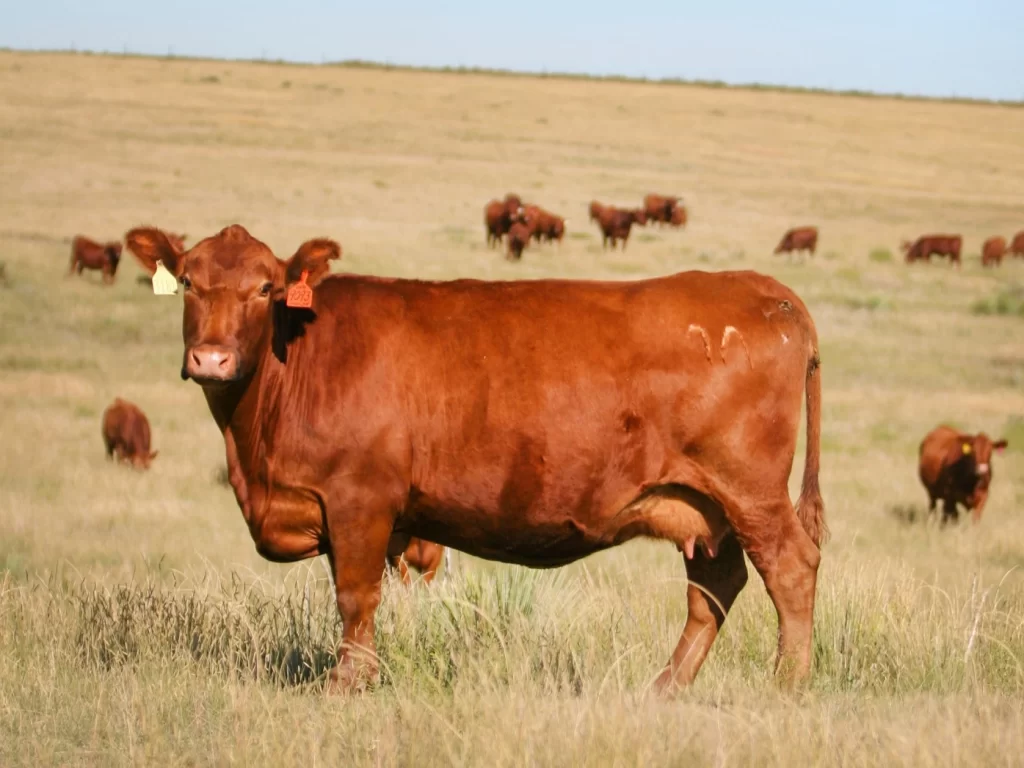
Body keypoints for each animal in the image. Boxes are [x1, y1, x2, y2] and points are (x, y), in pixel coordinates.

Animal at [126, 223, 826, 694]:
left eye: (265, 288)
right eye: (188, 283)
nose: (212, 358)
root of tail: (764, 290)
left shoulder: (359, 501)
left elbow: (355, 598)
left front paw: (346, 686)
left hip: (750, 491)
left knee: (789, 569)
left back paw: (786, 687)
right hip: (704, 506)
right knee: (713, 587)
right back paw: (665, 688)